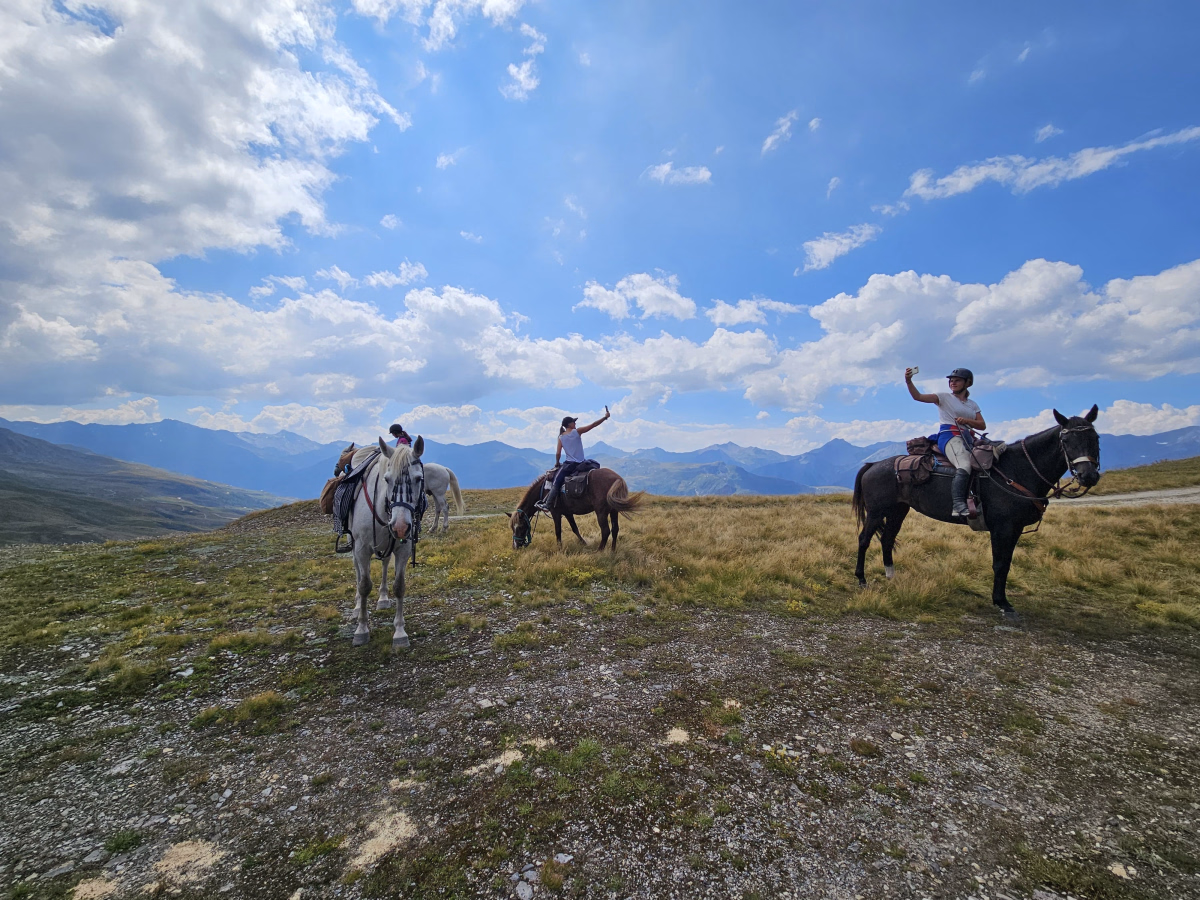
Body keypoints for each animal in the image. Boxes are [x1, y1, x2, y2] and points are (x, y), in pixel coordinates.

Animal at [346, 436, 426, 648]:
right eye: (387, 479)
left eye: (418, 479)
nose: (400, 527)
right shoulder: (362, 548)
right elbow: (364, 585)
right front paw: (362, 630)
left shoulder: (403, 548)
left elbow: (399, 586)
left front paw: (399, 632)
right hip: (353, 544)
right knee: (357, 571)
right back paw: (357, 606)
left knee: (384, 563)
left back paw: (382, 598)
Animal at [510, 468, 644, 551]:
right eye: (512, 528)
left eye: (520, 527)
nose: (515, 546)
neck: (544, 490)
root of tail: (617, 478)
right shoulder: (568, 513)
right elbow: (575, 528)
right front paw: (584, 543)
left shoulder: (555, 512)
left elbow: (558, 531)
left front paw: (559, 548)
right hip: (613, 511)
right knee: (615, 529)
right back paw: (612, 551)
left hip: (601, 512)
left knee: (606, 531)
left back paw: (600, 551)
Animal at [851, 406, 1101, 618]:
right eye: (1066, 440)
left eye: (1095, 438)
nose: (1088, 476)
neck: (1018, 470)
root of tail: (873, 465)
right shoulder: (1003, 528)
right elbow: (1000, 564)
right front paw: (1002, 603)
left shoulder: (1014, 529)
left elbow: (1006, 562)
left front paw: (1001, 600)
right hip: (876, 512)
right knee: (864, 539)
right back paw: (861, 579)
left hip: (898, 511)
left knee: (887, 539)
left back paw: (891, 575)